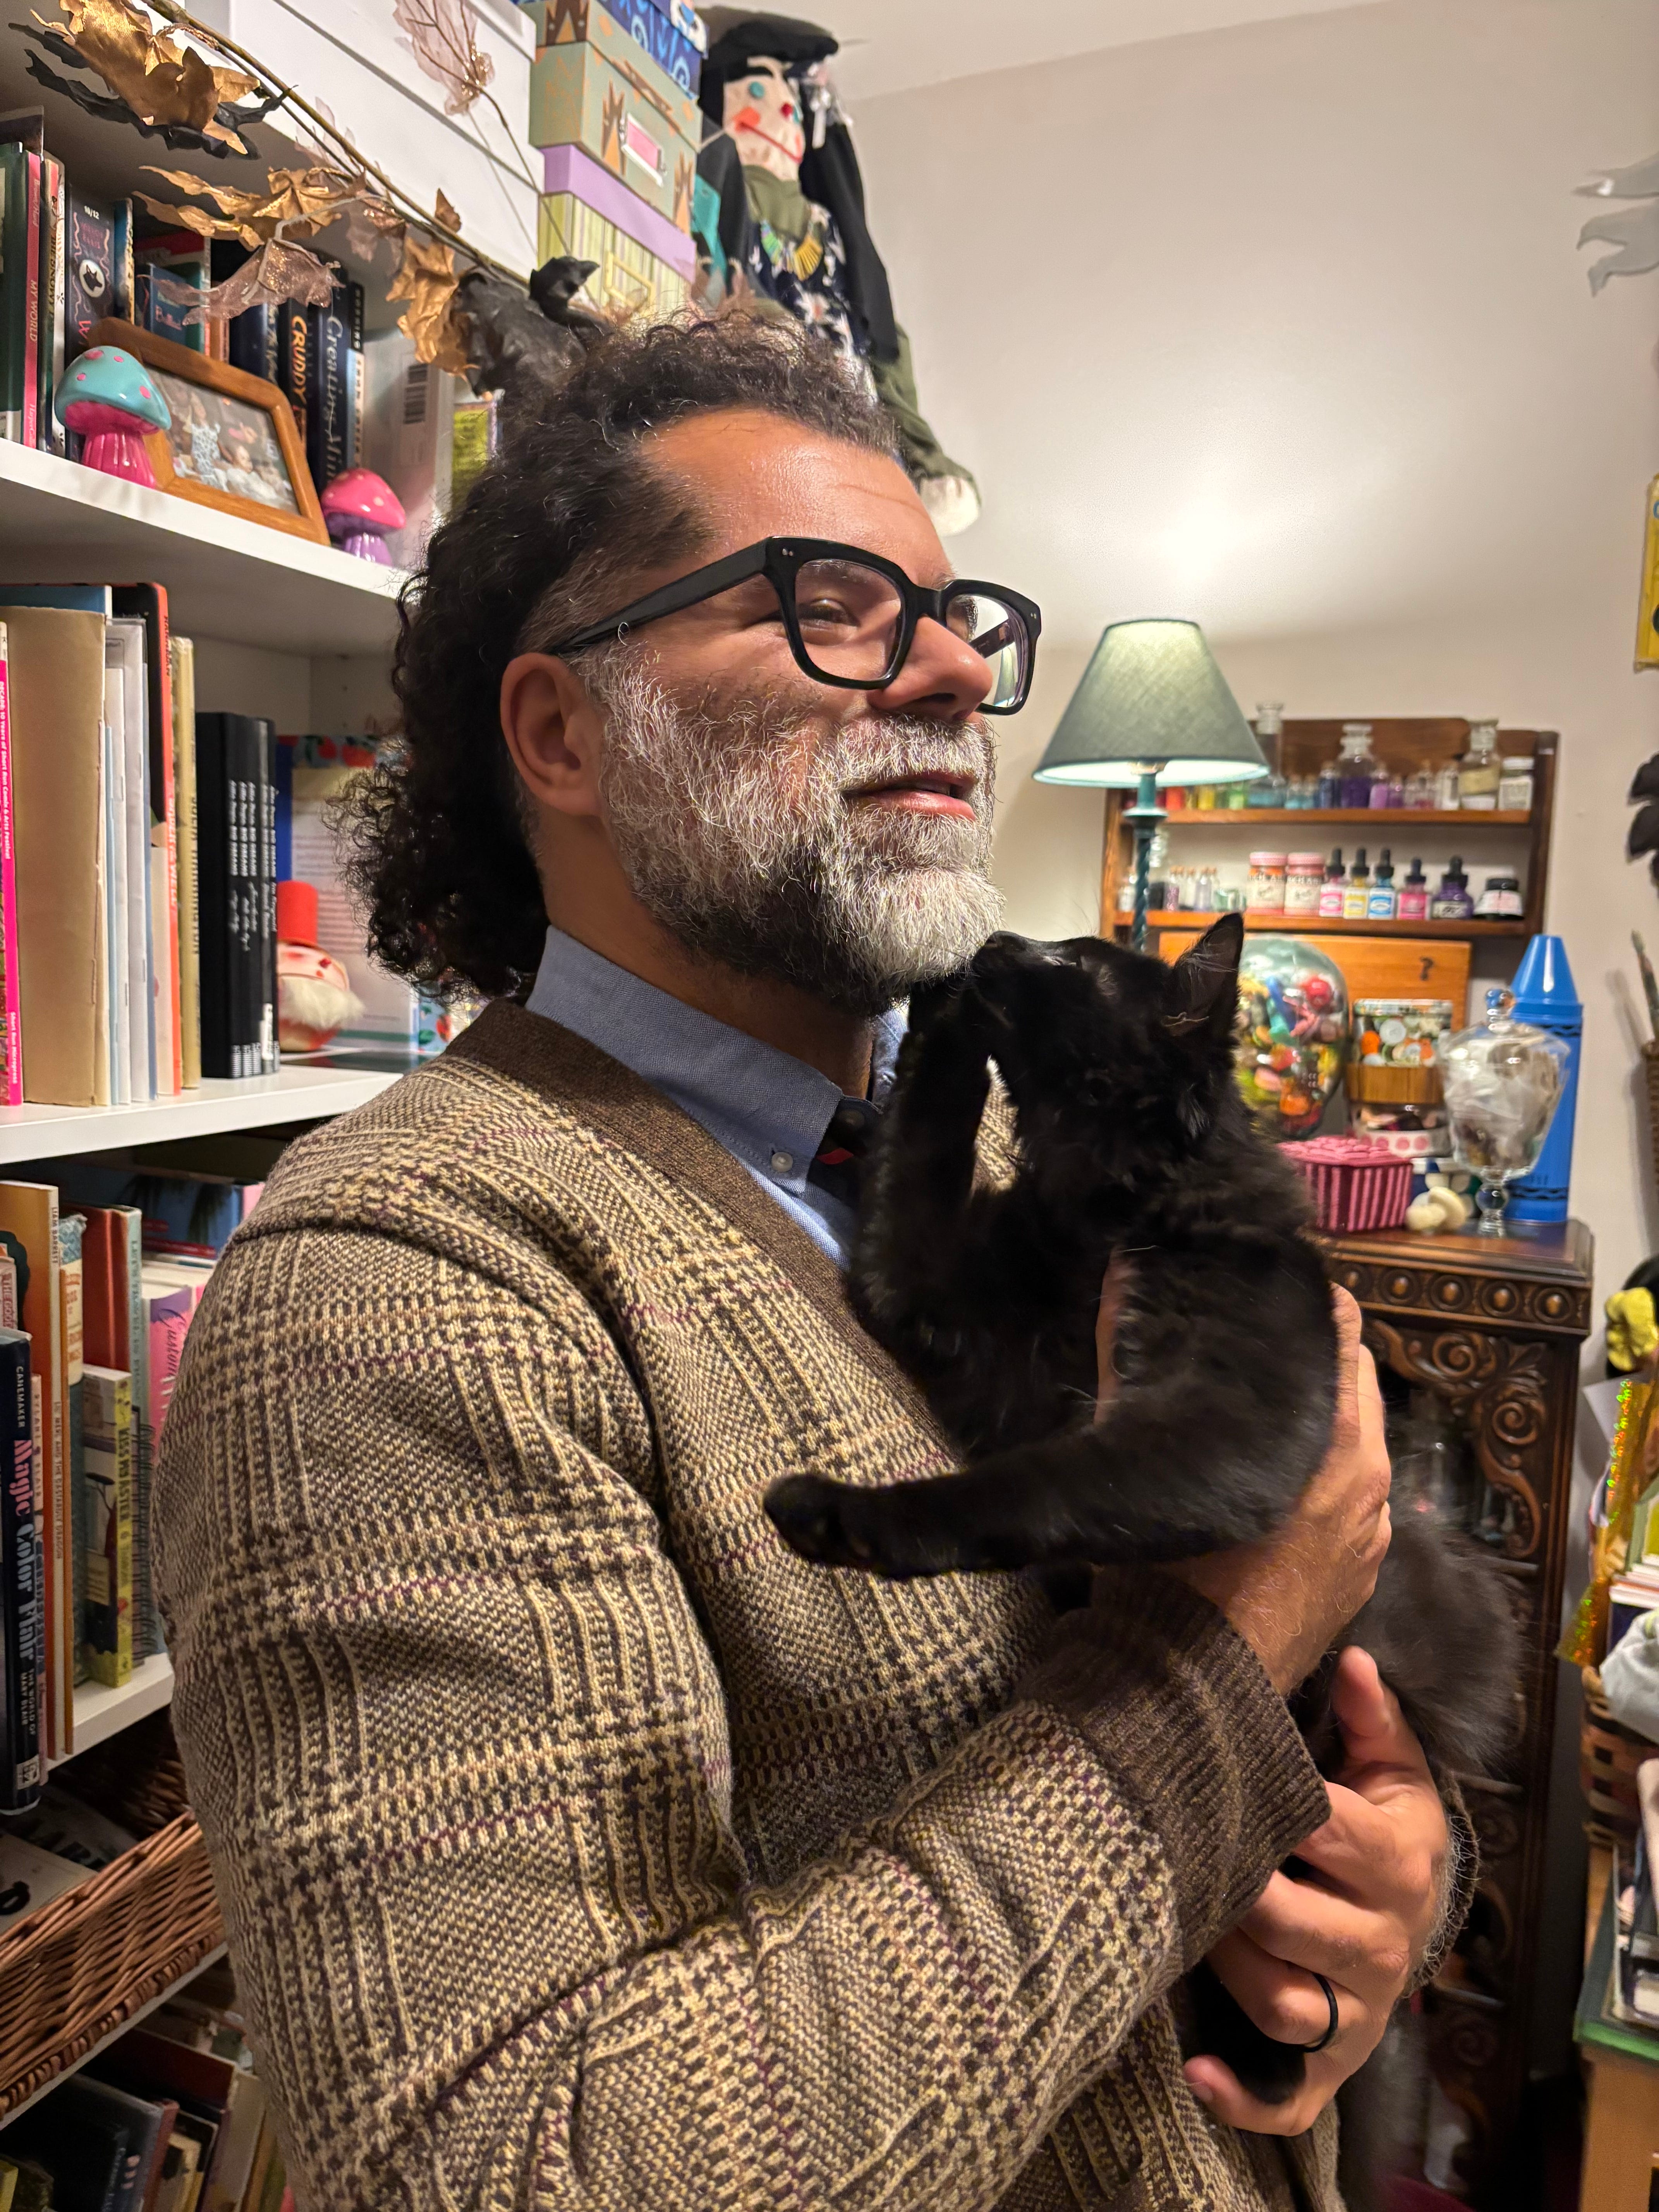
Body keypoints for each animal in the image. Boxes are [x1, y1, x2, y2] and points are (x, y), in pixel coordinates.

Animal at [764, 916, 1517, 2189]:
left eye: (1073, 962)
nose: (992, 938)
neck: (1096, 1202)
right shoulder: (930, 1282)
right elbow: (926, 1139)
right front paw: (937, 1011)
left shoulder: (1221, 1428)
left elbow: (1032, 1485)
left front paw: (849, 1516)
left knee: (1291, 2050)